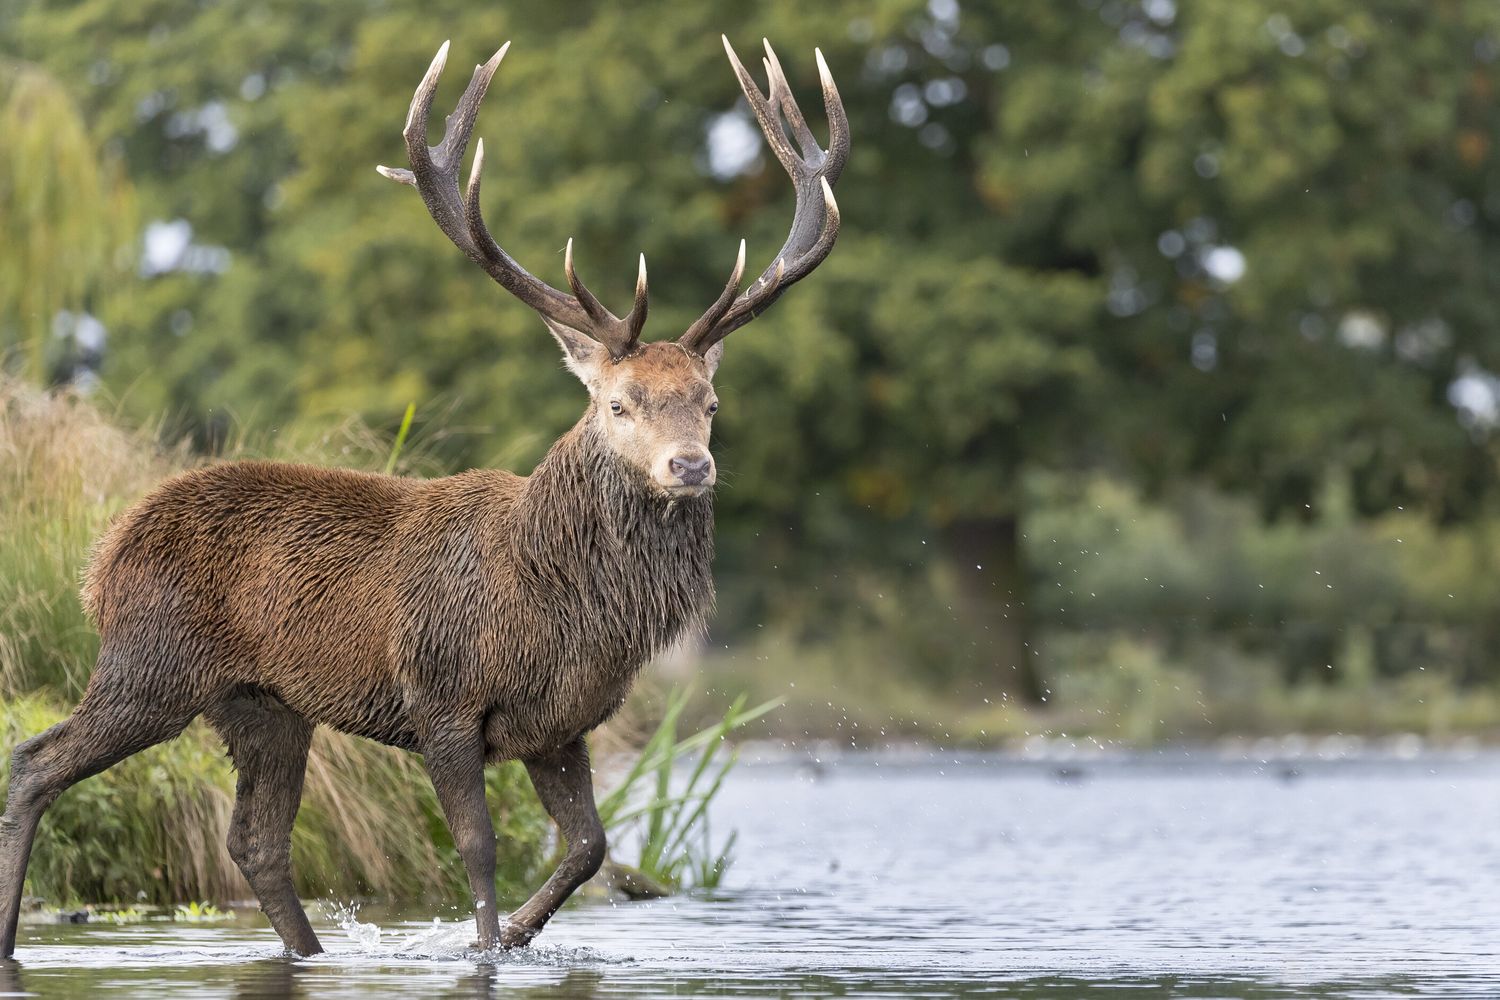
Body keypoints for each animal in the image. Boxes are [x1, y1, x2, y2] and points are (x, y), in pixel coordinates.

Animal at [0, 36, 846, 958]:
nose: (689, 466)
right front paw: (482, 946)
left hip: (262, 705)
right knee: (35, 762)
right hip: (150, 664)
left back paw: (310, 952)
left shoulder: (561, 723)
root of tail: (105, 556)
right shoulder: (442, 696)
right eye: (619, 404)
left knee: (255, 840)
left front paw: (516, 934)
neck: (562, 605)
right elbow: (476, 845)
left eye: (711, 403)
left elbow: (590, 848)